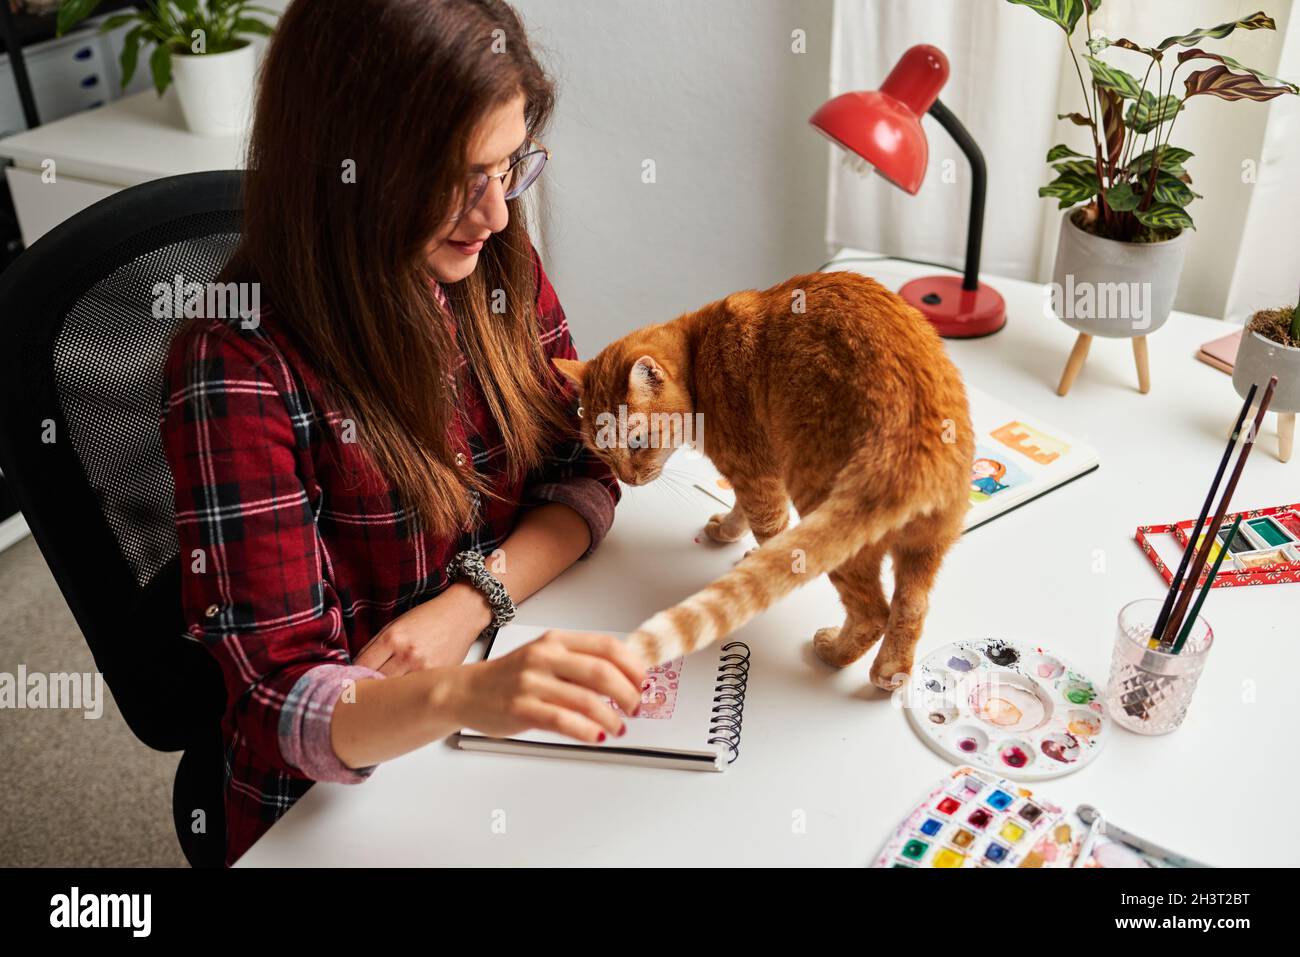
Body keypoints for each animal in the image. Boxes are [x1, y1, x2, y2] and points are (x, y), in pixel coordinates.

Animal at [553, 269, 972, 686]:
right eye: (602, 452)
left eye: (637, 441)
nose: (628, 479)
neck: (697, 352)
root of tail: (915, 443)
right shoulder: (759, 471)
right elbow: (742, 511)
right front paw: (728, 530)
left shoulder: (757, 474)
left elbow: (769, 532)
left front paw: (754, 554)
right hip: (925, 547)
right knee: (911, 607)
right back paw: (889, 674)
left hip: (829, 514)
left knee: (873, 613)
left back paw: (833, 652)